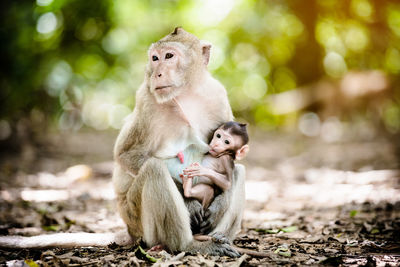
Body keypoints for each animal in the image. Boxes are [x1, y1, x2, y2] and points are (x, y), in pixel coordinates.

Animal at [111, 27, 245, 258]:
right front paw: (188, 202)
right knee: (154, 169)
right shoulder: (146, 100)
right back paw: (189, 246)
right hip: (135, 219)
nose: (157, 73)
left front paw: (221, 202)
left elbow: (233, 158)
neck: (185, 93)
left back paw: (220, 238)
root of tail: (129, 231)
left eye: (169, 56)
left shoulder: (217, 94)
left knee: (239, 170)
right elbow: (126, 154)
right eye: (155, 58)